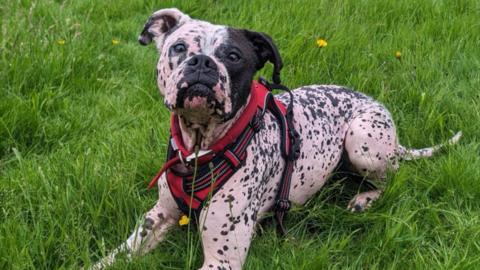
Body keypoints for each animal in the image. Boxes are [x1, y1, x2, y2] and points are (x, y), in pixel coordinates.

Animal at [90, 7, 462, 268]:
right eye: (179, 47)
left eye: (234, 56)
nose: (202, 63)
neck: (202, 148)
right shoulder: (157, 218)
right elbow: (113, 257)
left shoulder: (222, 259)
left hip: (363, 142)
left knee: (392, 178)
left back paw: (364, 198)